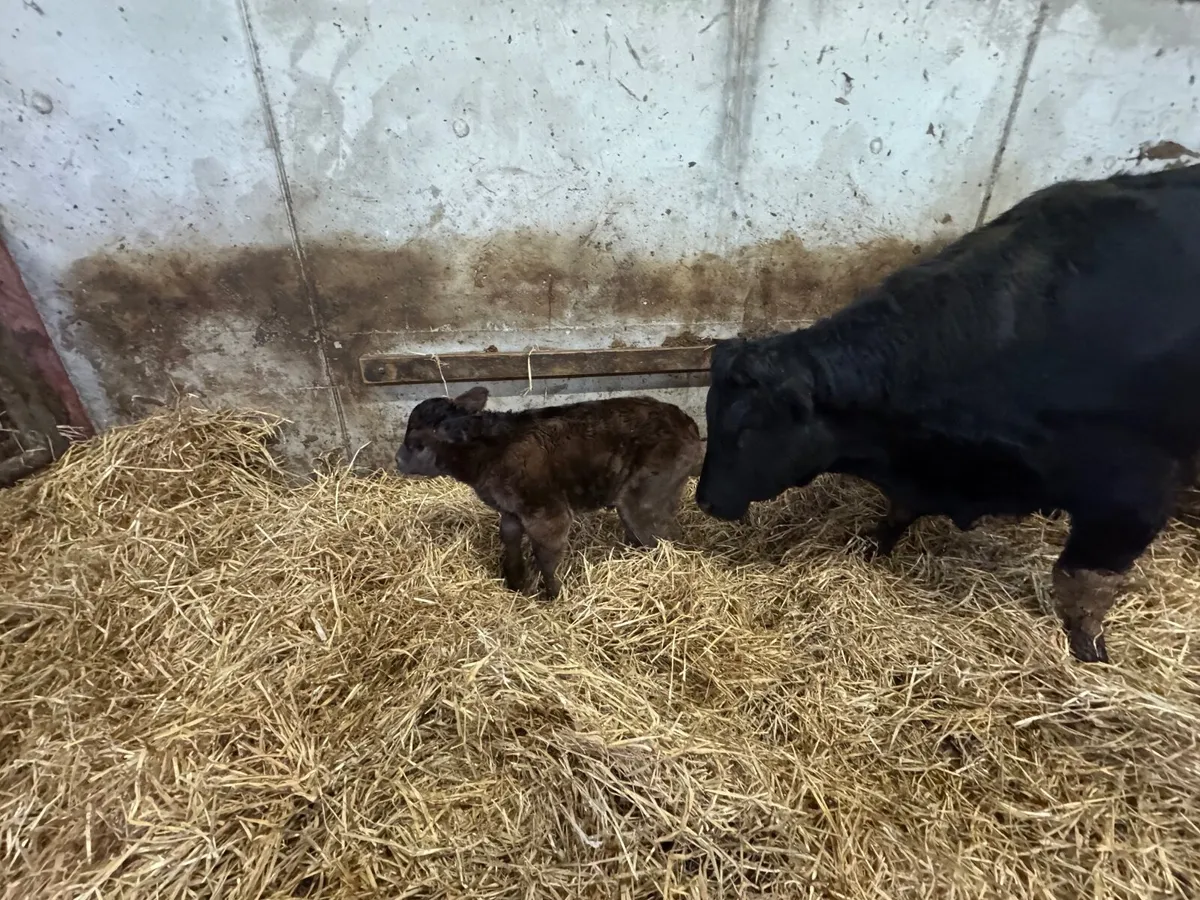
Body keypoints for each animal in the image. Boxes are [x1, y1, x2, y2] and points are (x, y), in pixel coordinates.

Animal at [395, 387, 703, 600]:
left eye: (416, 442)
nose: (397, 460)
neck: (493, 452)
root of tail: (687, 422)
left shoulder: (547, 513)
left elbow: (546, 555)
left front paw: (552, 595)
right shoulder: (511, 510)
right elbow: (509, 538)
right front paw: (515, 581)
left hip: (644, 497)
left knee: (664, 536)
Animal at [694, 163, 1200, 664]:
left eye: (747, 429)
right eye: (711, 416)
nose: (705, 501)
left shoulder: (1134, 495)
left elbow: (1085, 581)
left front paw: (1088, 646)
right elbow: (898, 512)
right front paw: (871, 549)